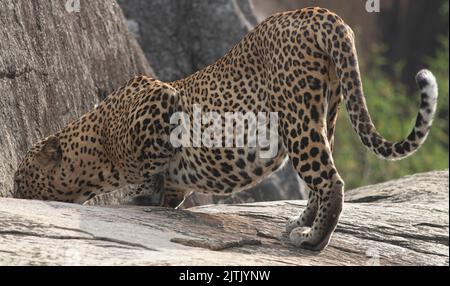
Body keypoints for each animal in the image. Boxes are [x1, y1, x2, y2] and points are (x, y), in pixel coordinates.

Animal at [12, 7, 438, 250]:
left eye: (19, 177)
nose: (12, 192)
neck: (98, 147)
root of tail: (318, 13)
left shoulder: (161, 102)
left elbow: (151, 172)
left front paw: (141, 196)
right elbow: (167, 190)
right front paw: (152, 199)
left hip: (296, 115)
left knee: (330, 181)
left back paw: (311, 241)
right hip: (326, 113)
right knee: (320, 179)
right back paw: (298, 224)